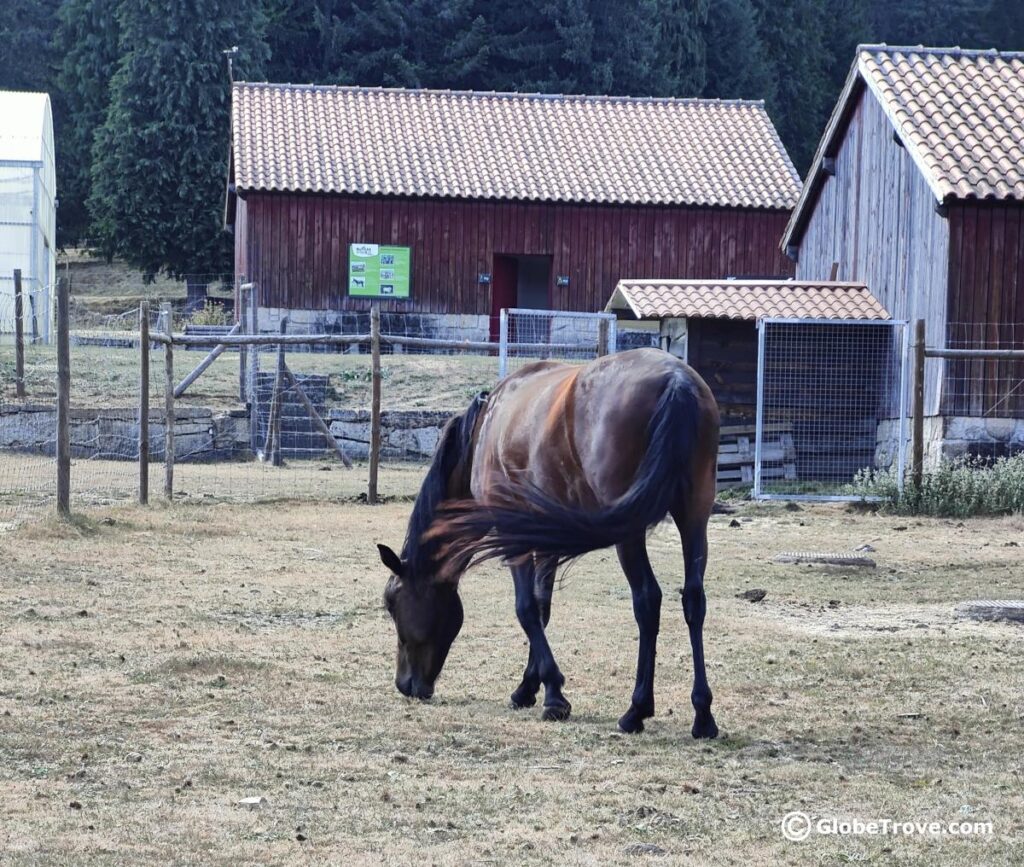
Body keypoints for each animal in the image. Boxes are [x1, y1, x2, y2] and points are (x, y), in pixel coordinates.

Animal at [376, 347, 721, 738]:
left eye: (391, 603)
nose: (405, 685)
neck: (484, 430)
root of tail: (676, 381)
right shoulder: (545, 537)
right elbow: (542, 607)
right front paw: (528, 687)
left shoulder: (512, 534)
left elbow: (526, 607)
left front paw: (554, 694)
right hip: (694, 516)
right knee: (693, 600)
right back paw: (703, 714)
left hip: (632, 530)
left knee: (648, 601)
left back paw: (636, 710)